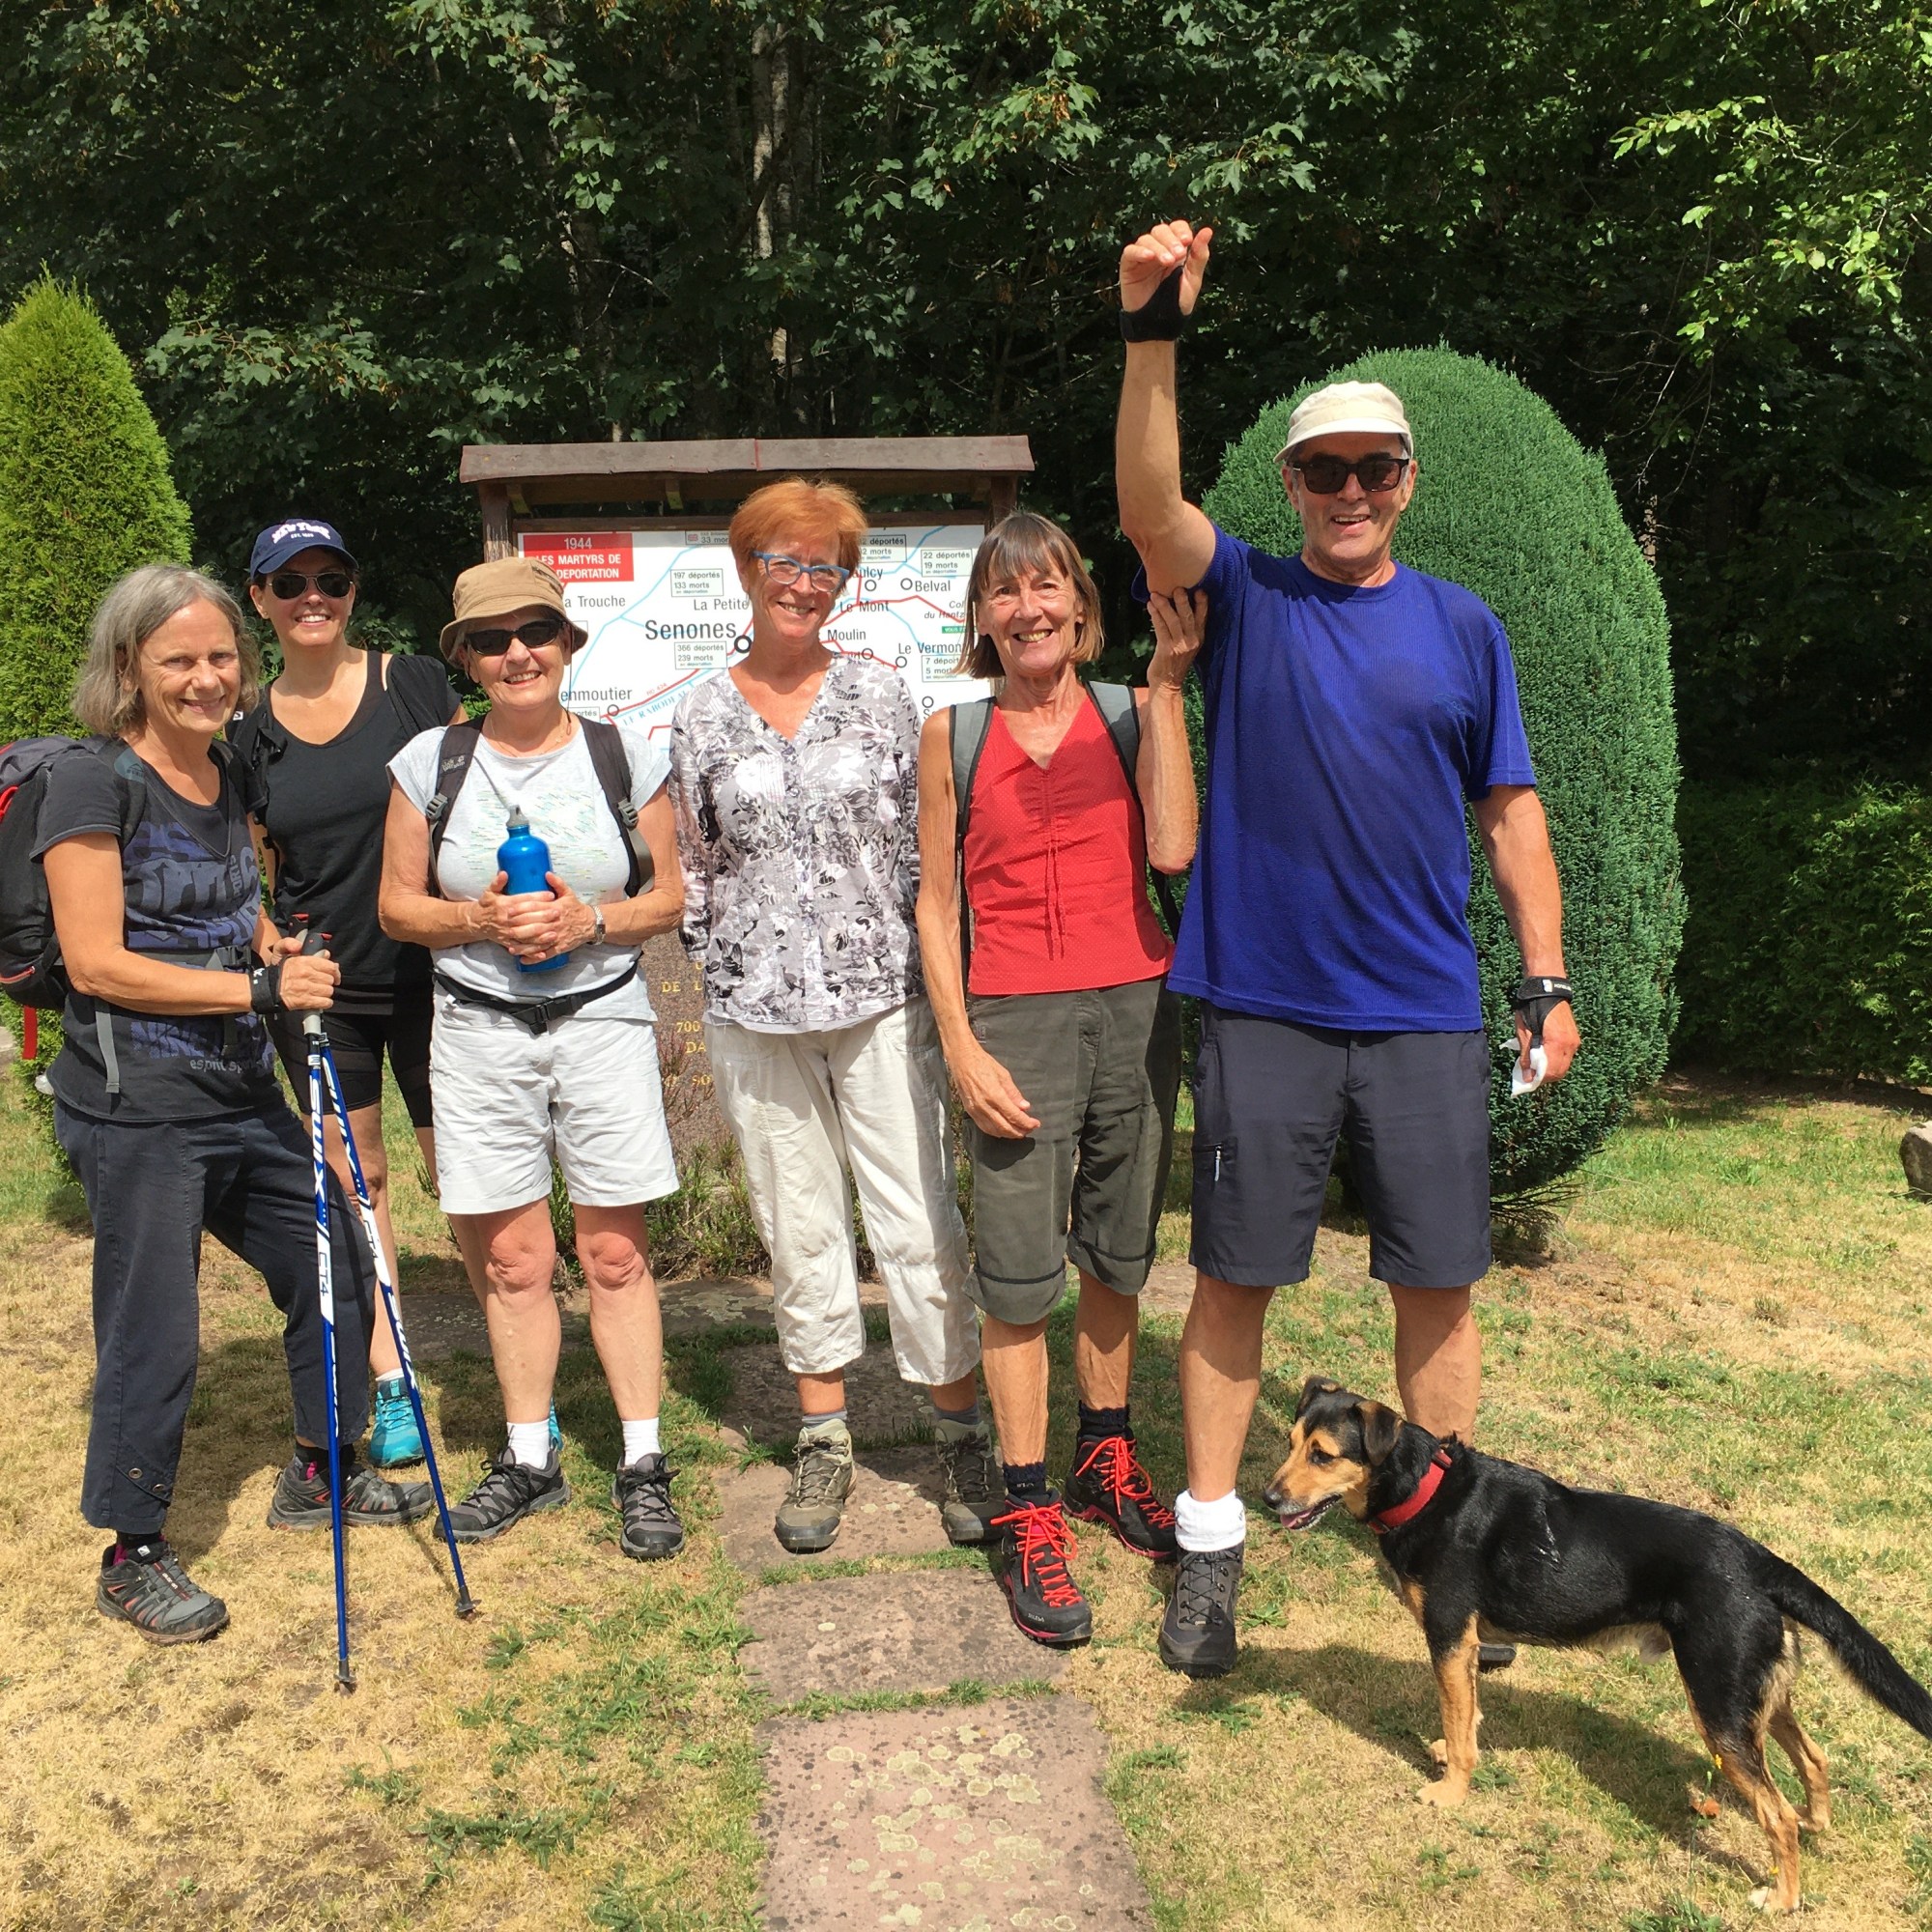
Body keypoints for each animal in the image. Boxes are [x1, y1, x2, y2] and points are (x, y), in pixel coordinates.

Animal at [1264, 1377, 1932, 1914]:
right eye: (1291, 1443)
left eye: (1323, 1456)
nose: (1269, 1500)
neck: (1425, 1490)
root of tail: (1761, 1562)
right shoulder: (1468, 1647)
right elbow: (1468, 1715)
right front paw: (1455, 1756)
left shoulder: (1451, 1636)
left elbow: (1457, 1721)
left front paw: (1450, 1793)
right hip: (1754, 1696)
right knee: (1814, 1762)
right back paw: (1820, 1824)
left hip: (1718, 1707)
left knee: (1778, 1815)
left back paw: (1784, 1898)